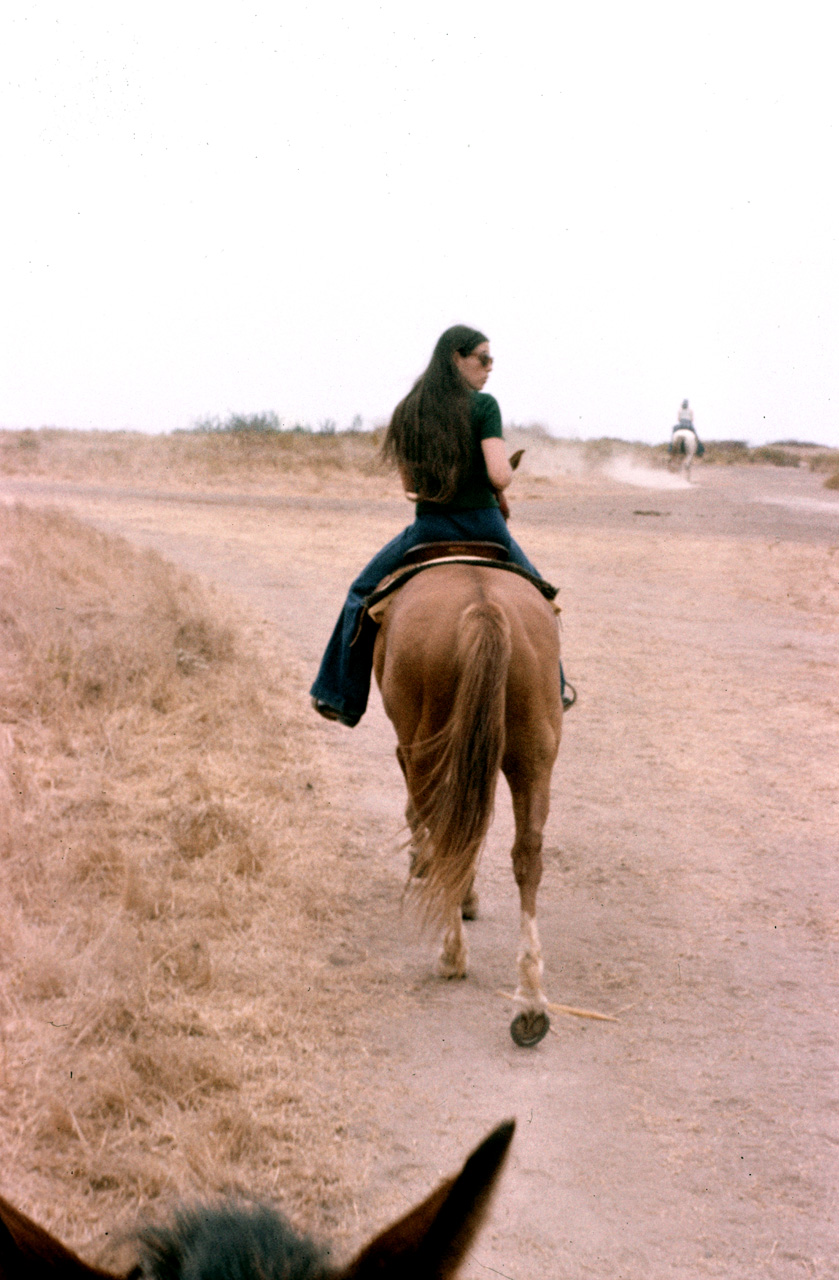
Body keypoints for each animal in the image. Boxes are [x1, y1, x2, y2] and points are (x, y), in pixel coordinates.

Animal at [376, 565, 563, 1044]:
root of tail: (483, 609)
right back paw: (530, 1001)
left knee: (448, 837)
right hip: (533, 758)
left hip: (427, 750)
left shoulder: (411, 752)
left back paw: (452, 954)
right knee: (526, 856)